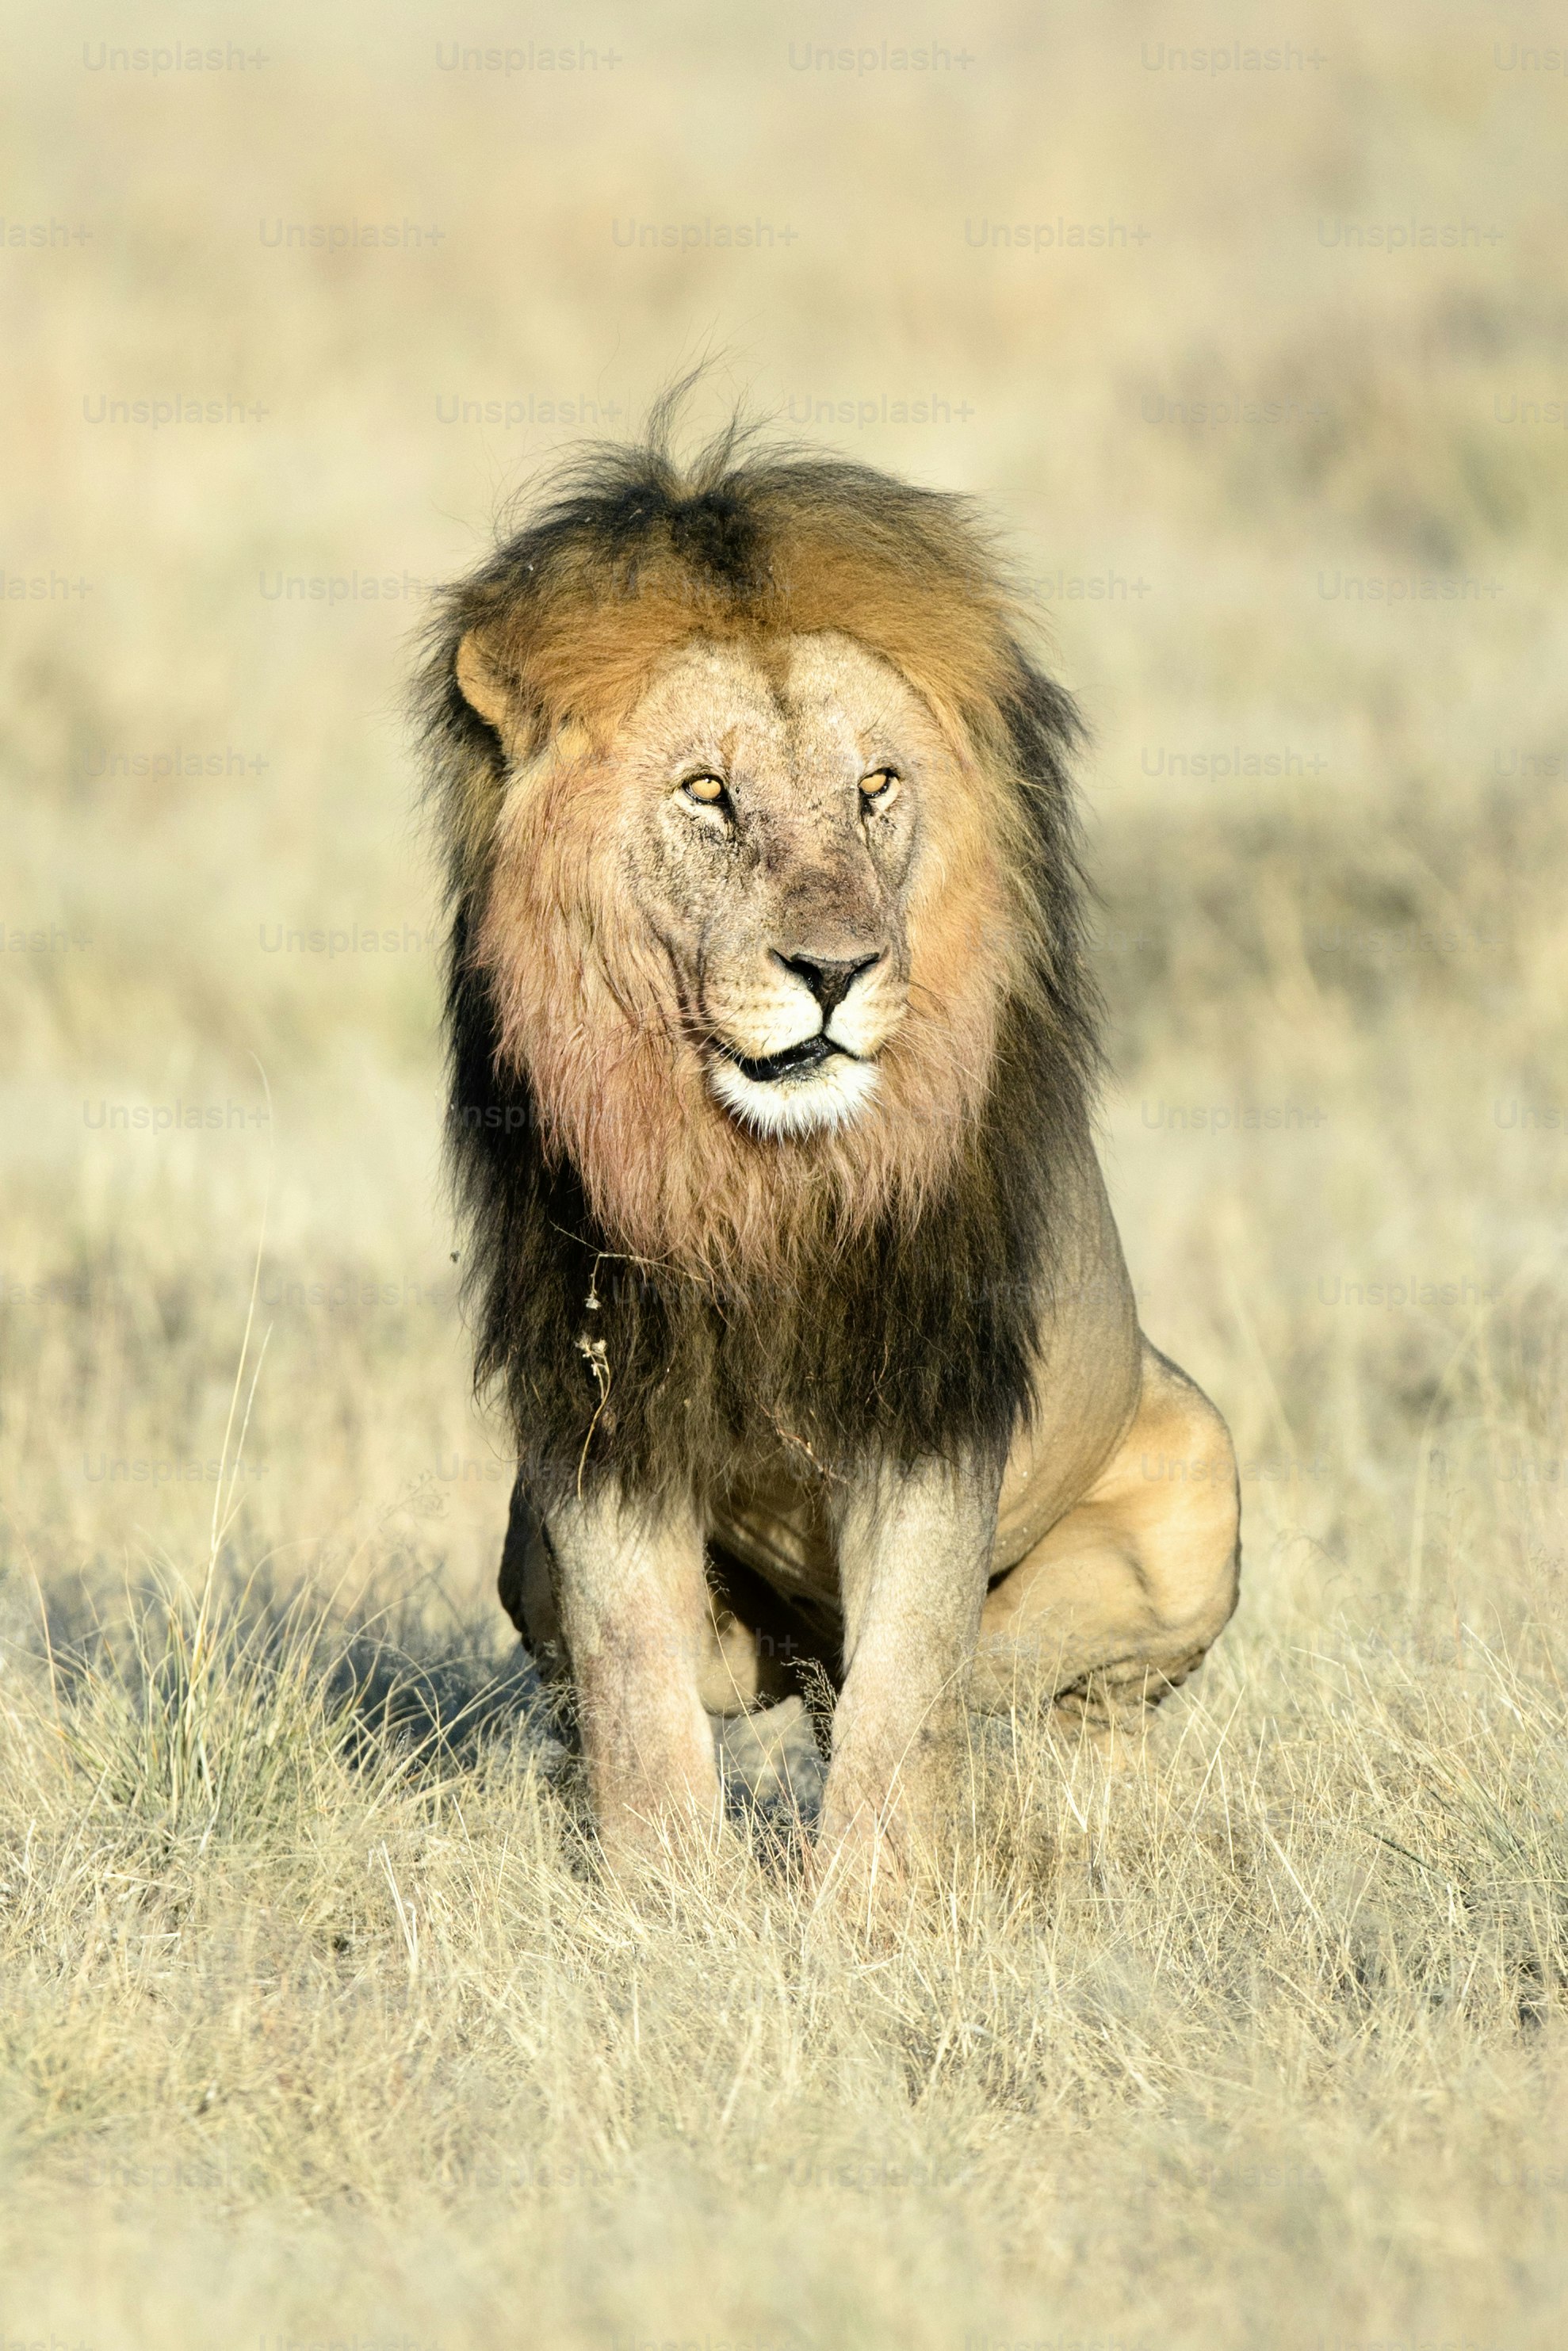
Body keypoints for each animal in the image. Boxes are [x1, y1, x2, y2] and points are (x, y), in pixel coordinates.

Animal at [413, 409, 1241, 1871]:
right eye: (707, 791)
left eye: (874, 786)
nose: (837, 970)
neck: (769, 1178)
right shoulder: (598, 1407)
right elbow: (633, 1679)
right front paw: (660, 1890)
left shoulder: (932, 1404)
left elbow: (907, 1681)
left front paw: (877, 1904)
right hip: (524, 1537)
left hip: (1199, 1465)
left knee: (1033, 1691)